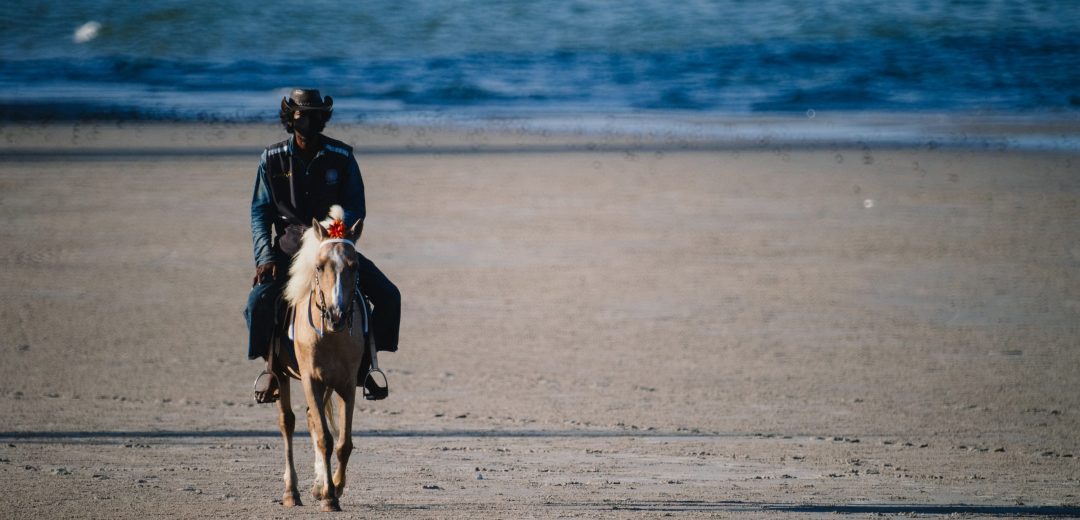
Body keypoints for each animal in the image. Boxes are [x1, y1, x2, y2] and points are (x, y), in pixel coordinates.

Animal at [274, 203, 367, 510]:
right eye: (319, 266)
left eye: (355, 265)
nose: (337, 315)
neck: (331, 335)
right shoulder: (310, 380)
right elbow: (325, 438)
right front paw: (329, 496)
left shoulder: (346, 384)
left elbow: (342, 442)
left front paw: (333, 487)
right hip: (281, 374)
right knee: (287, 422)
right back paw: (291, 491)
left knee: (311, 420)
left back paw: (316, 485)